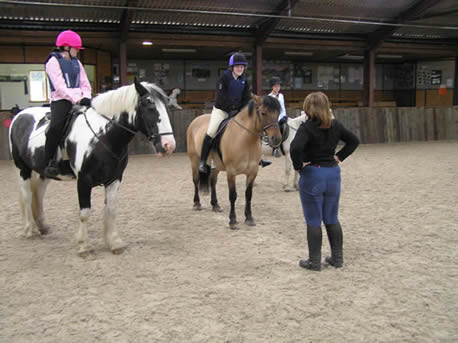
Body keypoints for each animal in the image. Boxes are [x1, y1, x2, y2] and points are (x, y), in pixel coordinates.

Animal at [9, 80, 177, 258]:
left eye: (165, 106)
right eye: (149, 107)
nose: (169, 145)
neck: (103, 136)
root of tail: (20, 115)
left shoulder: (114, 179)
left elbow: (111, 210)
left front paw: (114, 243)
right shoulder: (83, 181)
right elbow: (84, 213)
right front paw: (84, 247)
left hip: (43, 174)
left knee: (39, 194)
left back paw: (42, 226)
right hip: (22, 169)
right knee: (26, 196)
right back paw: (29, 230)